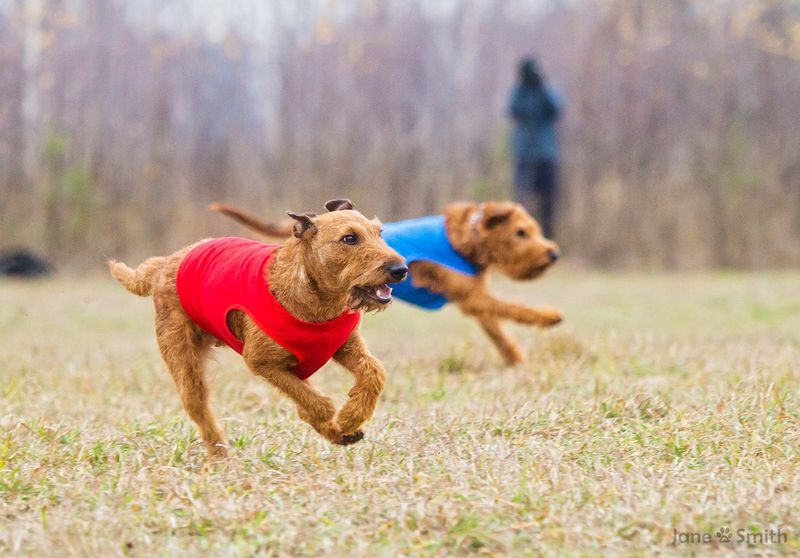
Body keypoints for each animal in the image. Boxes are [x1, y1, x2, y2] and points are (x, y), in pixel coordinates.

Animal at [111, 201, 406, 460]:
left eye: (379, 233)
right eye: (349, 238)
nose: (400, 269)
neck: (317, 303)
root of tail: (164, 263)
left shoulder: (344, 347)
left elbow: (374, 371)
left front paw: (351, 416)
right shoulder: (262, 361)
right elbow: (316, 402)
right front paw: (340, 419)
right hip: (184, 361)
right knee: (197, 407)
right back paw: (219, 454)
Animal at [212, 201, 564, 368]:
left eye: (534, 229)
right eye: (521, 233)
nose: (553, 253)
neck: (465, 239)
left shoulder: (475, 299)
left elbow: (500, 333)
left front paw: (516, 361)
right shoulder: (472, 297)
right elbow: (514, 308)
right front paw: (548, 317)